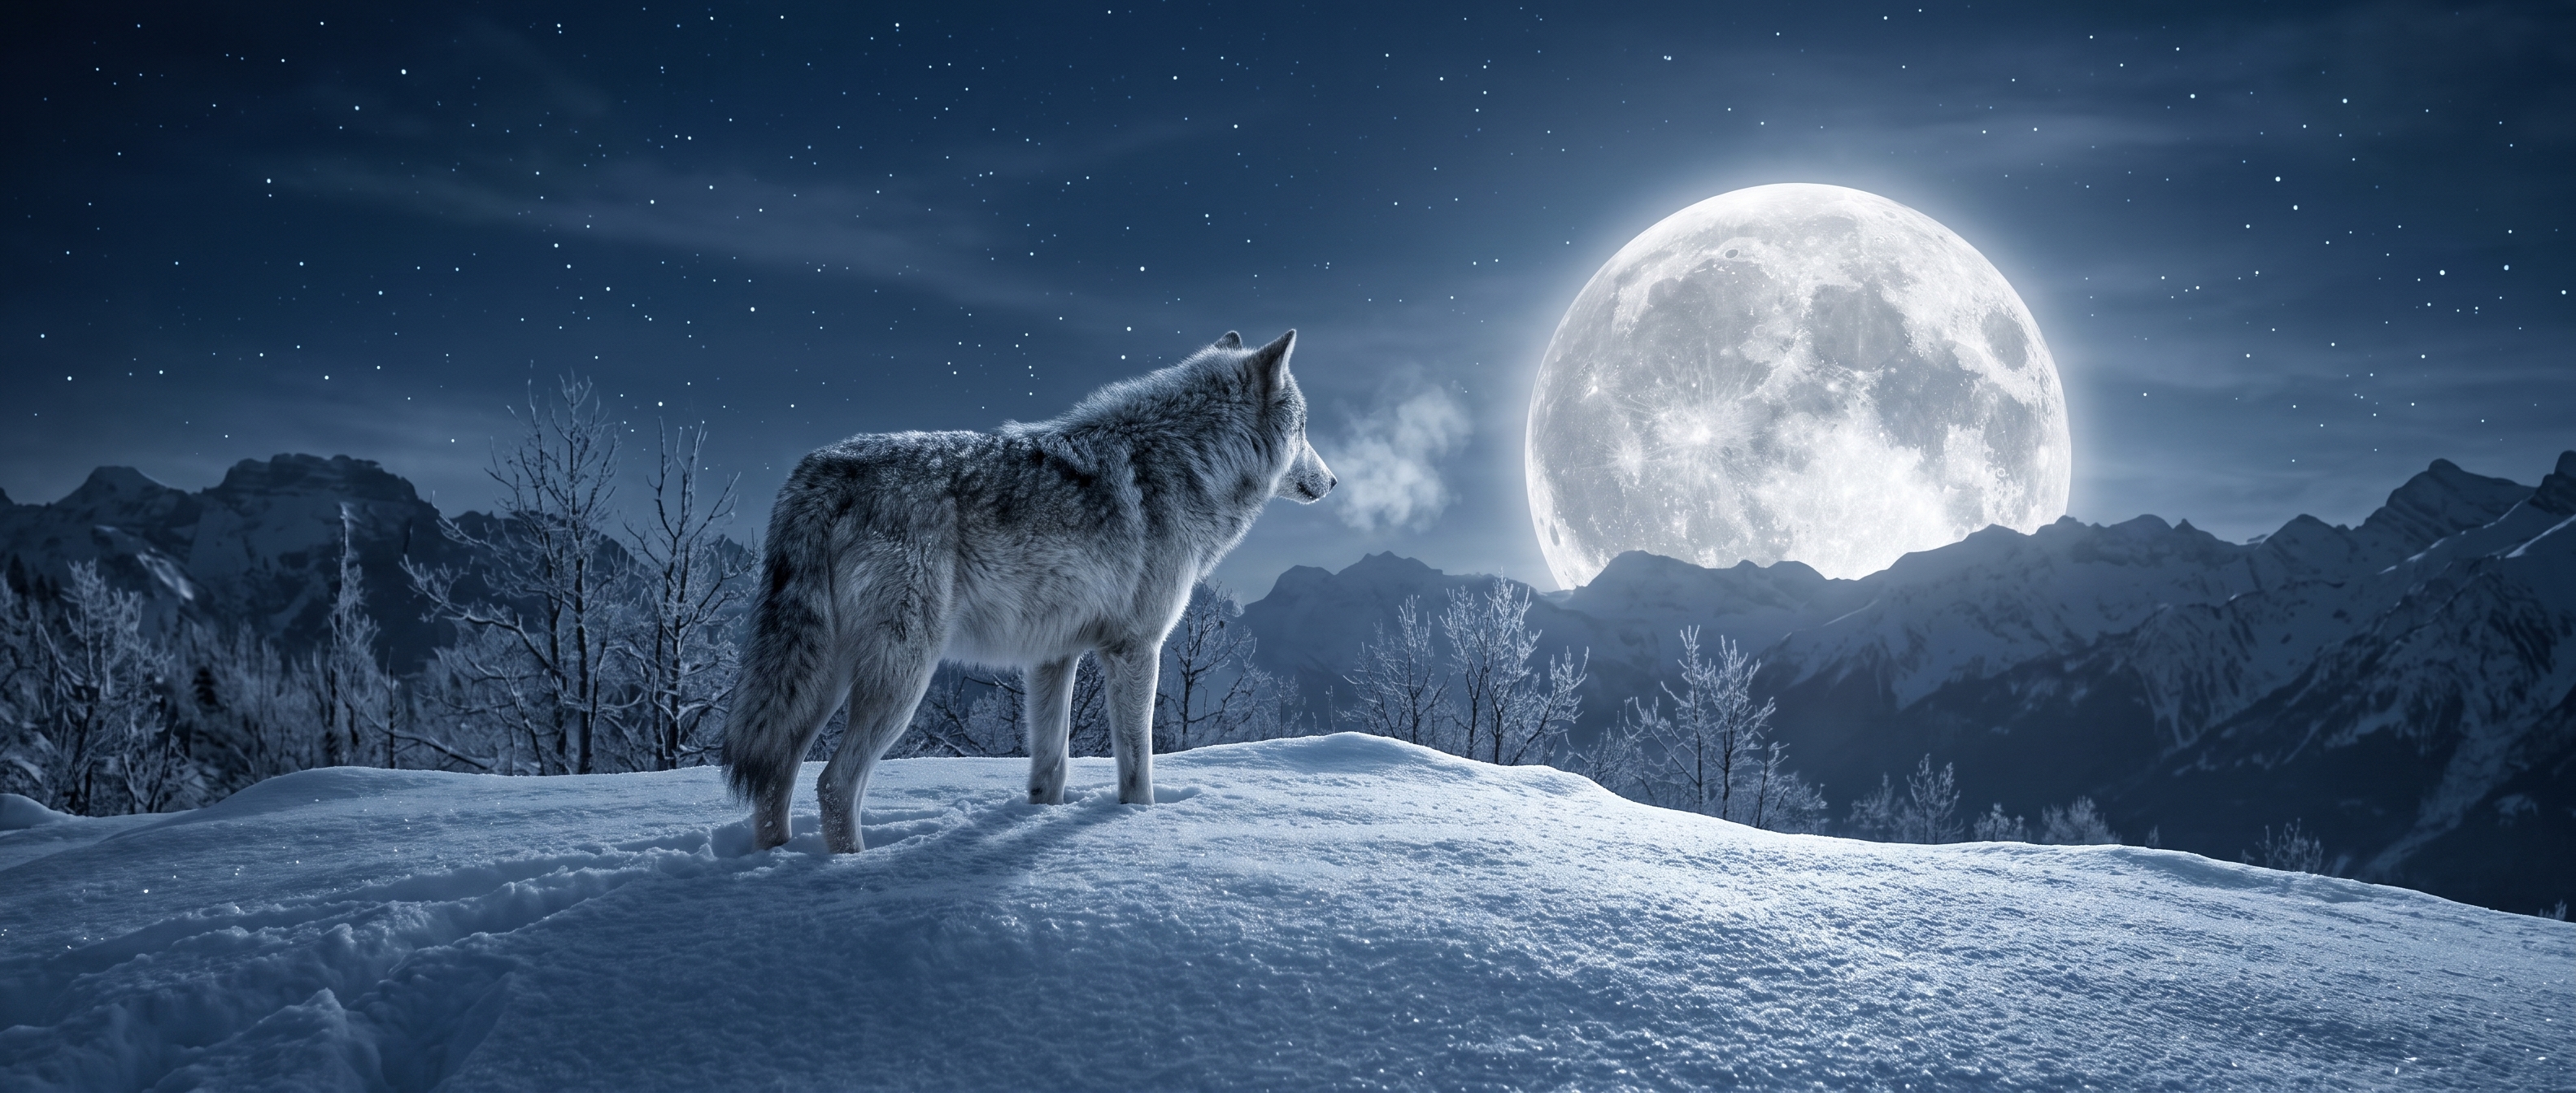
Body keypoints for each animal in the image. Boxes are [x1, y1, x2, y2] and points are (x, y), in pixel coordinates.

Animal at [721, 330, 1334, 852]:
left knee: (774, 778)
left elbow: (1050, 768)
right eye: (1305, 428)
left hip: (821, 679)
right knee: (833, 784)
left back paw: (774, 863)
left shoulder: (1051, 657)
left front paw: (1039, 820)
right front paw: (1136, 826)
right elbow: (1137, 766)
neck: (1185, 464)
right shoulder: (1135, 649)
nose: (1332, 481)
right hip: (901, 679)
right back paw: (849, 870)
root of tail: (822, 468)